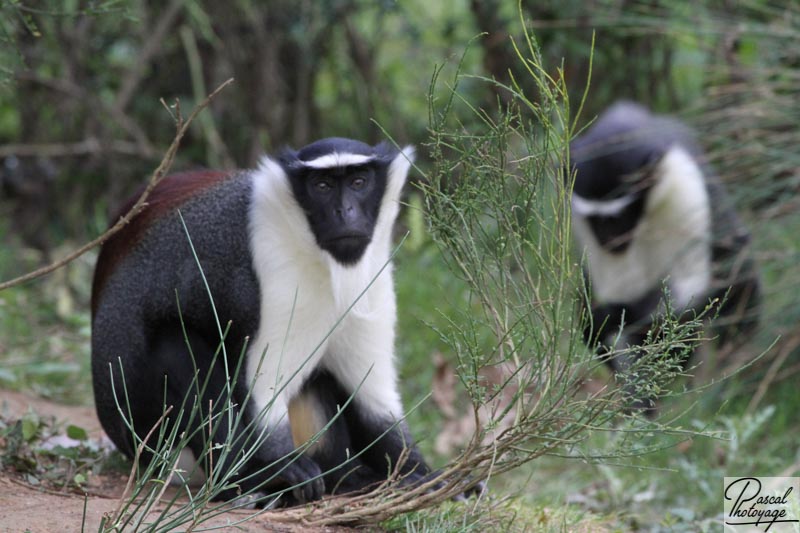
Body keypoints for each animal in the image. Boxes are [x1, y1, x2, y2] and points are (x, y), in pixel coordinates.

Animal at [91, 136, 476, 502]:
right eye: (322, 186)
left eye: (359, 182)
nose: (345, 211)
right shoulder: (275, 274)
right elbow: (266, 394)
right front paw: (284, 468)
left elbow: (374, 401)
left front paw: (423, 474)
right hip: (159, 441)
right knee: (172, 343)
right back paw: (250, 482)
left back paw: (350, 477)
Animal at [568, 101, 764, 404]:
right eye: (597, 221)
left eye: (617, 218)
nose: (611, 241)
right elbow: (609, 305)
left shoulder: (684, 191)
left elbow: (691, 289)